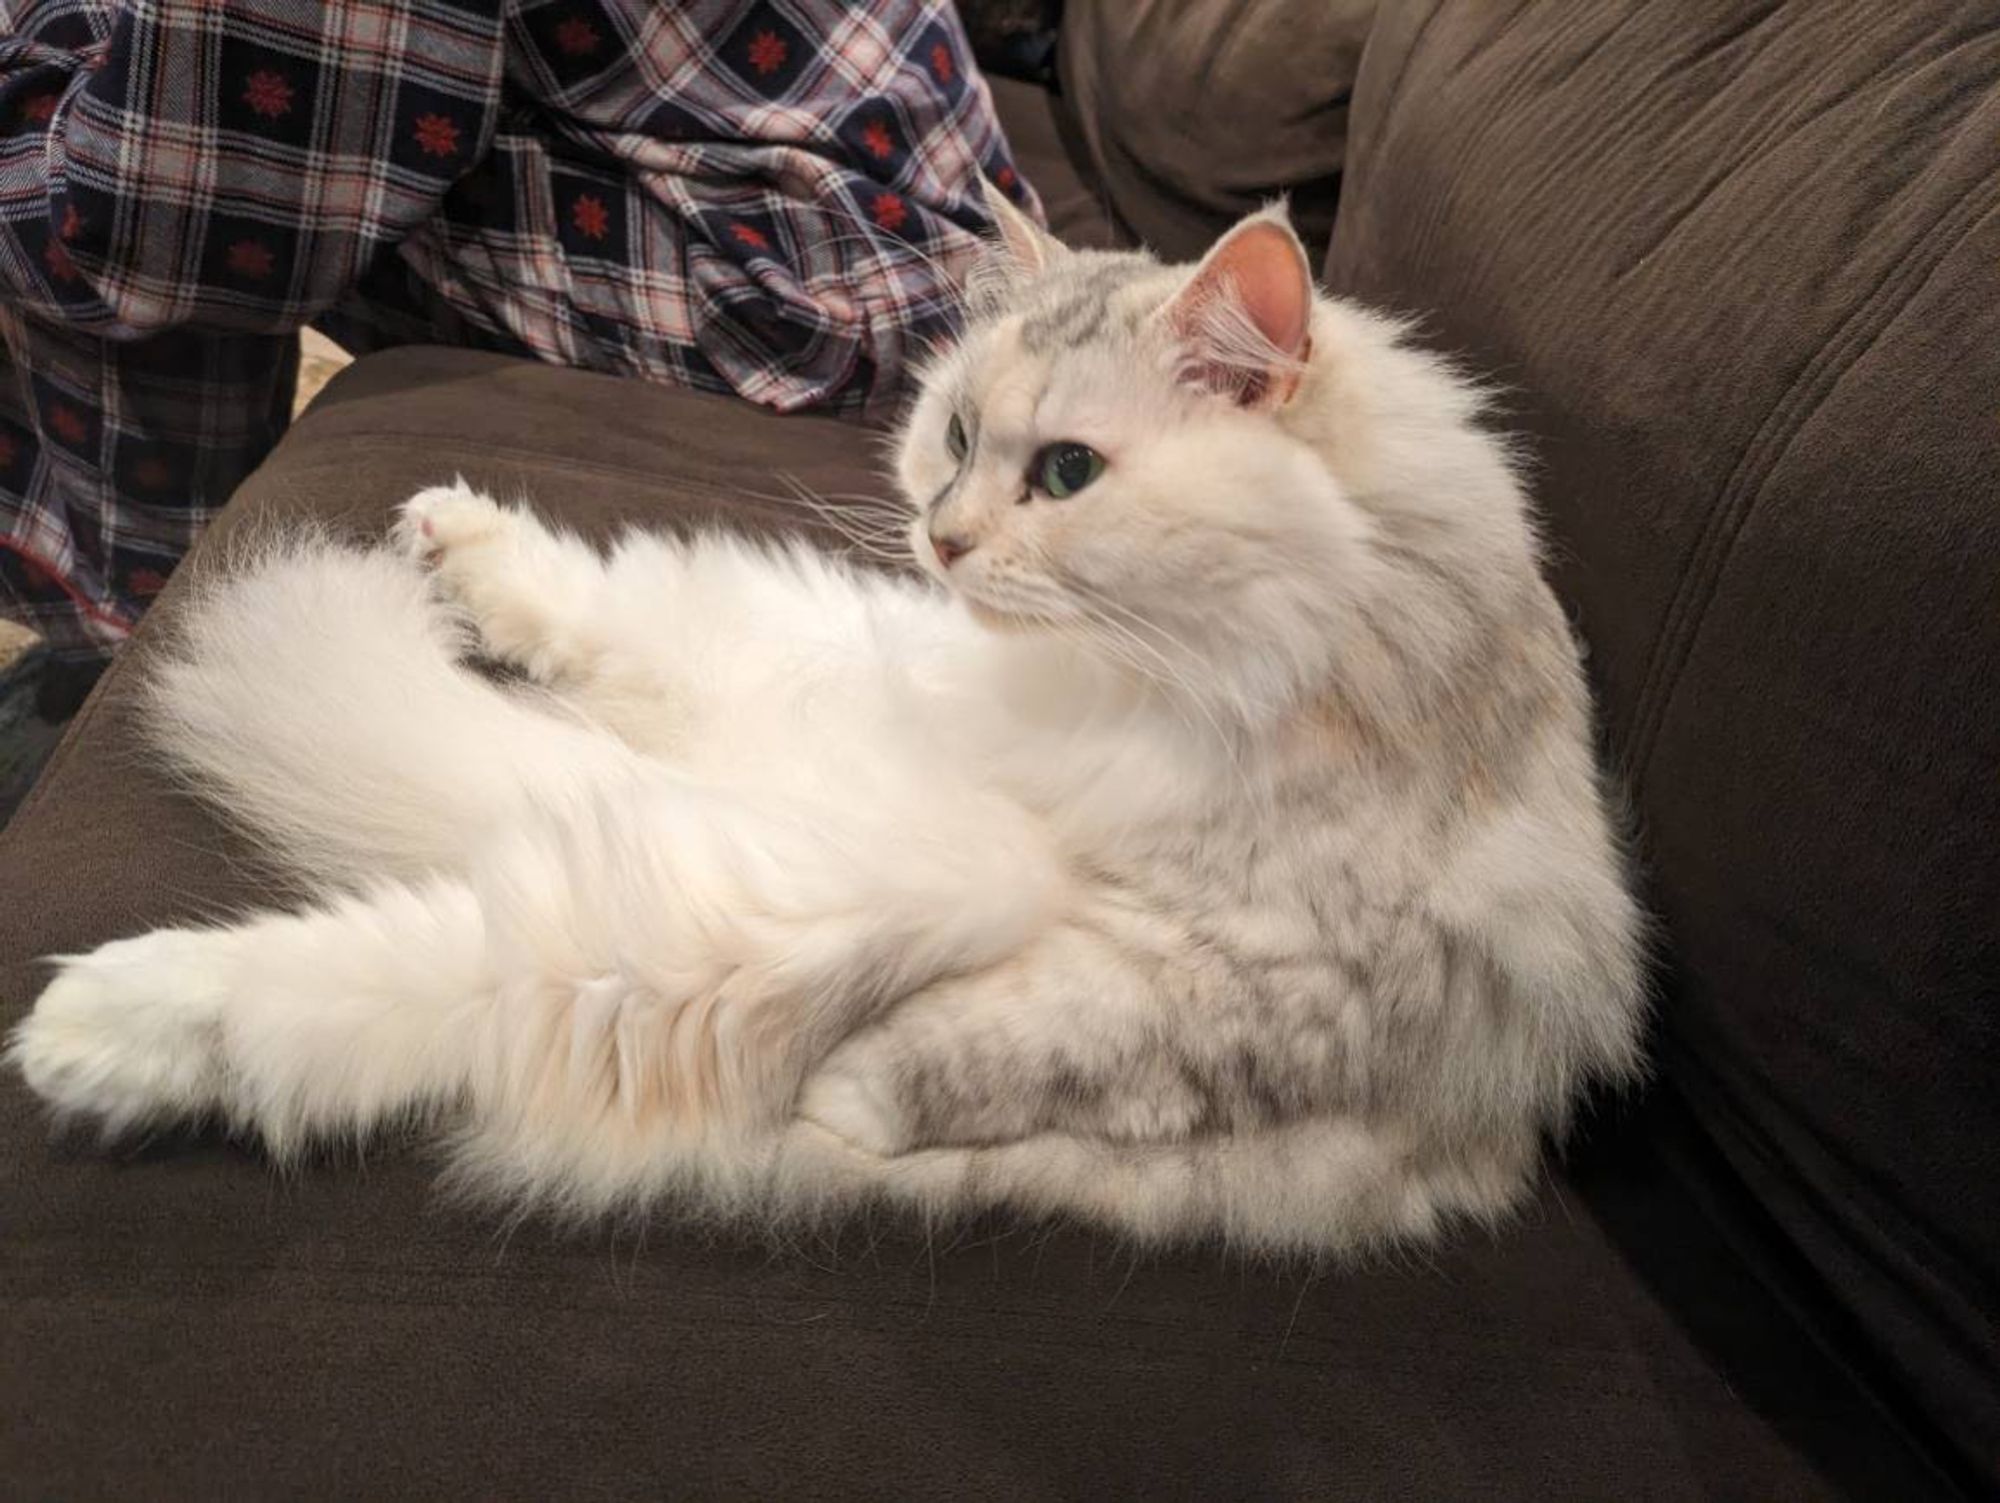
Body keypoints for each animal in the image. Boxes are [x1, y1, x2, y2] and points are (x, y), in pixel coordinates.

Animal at [7, 199, 1648, 1255]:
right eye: (958, 437)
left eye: (1066, 472)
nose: (942, 536)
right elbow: (628, 622)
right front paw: (465, 551)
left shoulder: (1244, 983)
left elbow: (999, 1050)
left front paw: (850, 1099)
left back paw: (100, 1024)